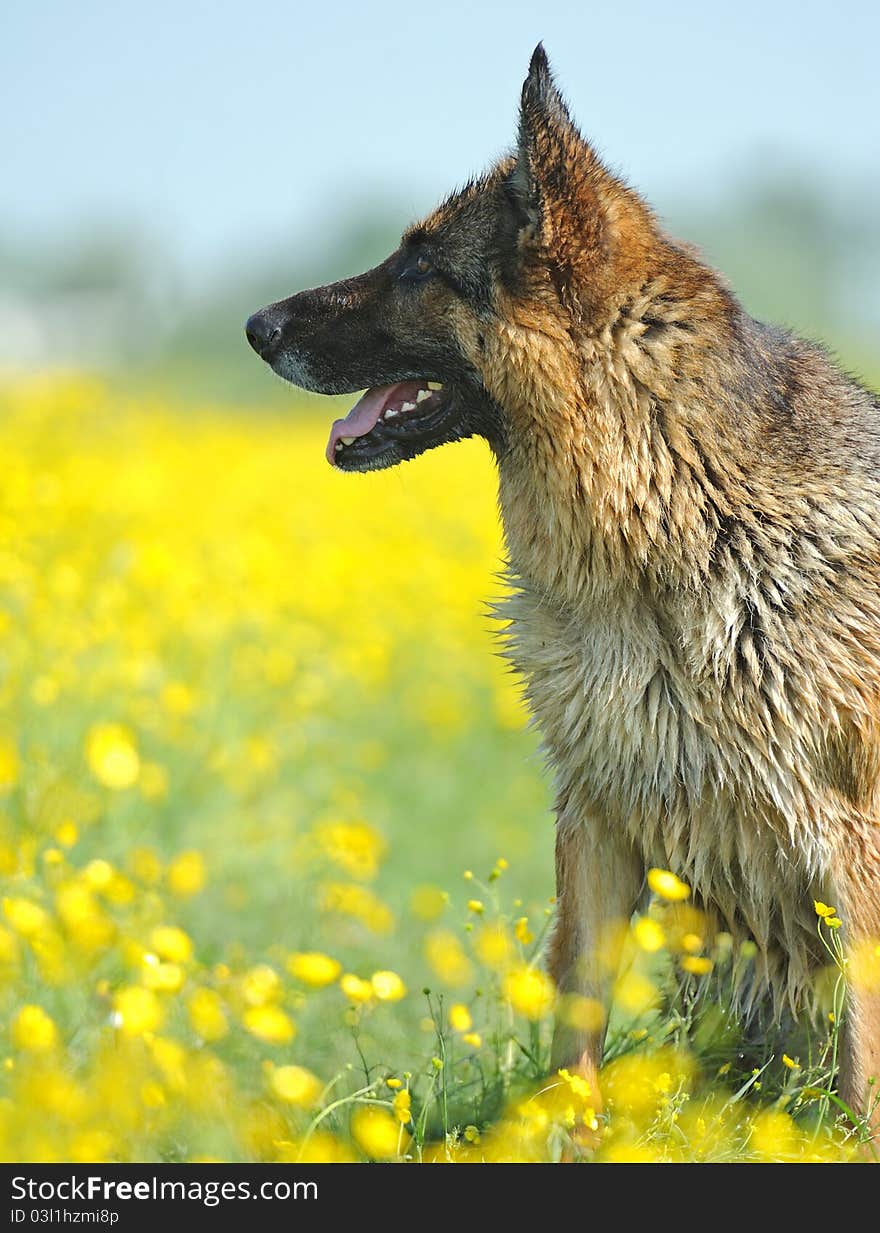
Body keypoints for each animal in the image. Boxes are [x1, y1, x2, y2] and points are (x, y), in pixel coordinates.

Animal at [245, 45, 877, 1129]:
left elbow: (863, 1059)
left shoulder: (850, 839)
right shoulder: (597, 814)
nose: (254, 324)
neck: (671, 515)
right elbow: (573, 1024)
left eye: (419, 268)